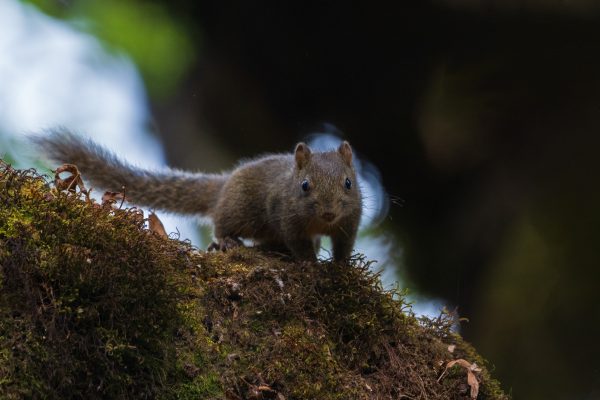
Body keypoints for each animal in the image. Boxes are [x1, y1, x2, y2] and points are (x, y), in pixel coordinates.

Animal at [35, 130, 364, 262]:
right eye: (305, 186)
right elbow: (298, 243)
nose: (329, 212)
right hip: (238, 210)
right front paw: (311, 264)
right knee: (221, 224)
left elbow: (343, 245)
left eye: (349, 183)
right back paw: (229, 242)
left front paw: (341, 267)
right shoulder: (286, 215)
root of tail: (224, 184)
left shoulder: (350, 221)